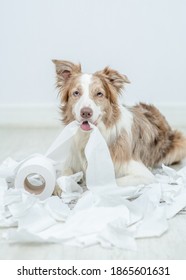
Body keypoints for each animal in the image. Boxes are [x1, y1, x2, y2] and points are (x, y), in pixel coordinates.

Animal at [51, 58, 186, 190]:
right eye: (76, 93)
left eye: (99, 94)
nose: (86, 113)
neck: (89, 136)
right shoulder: (71, 162)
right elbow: (62, 175)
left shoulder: (143, 174)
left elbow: (109, 183)